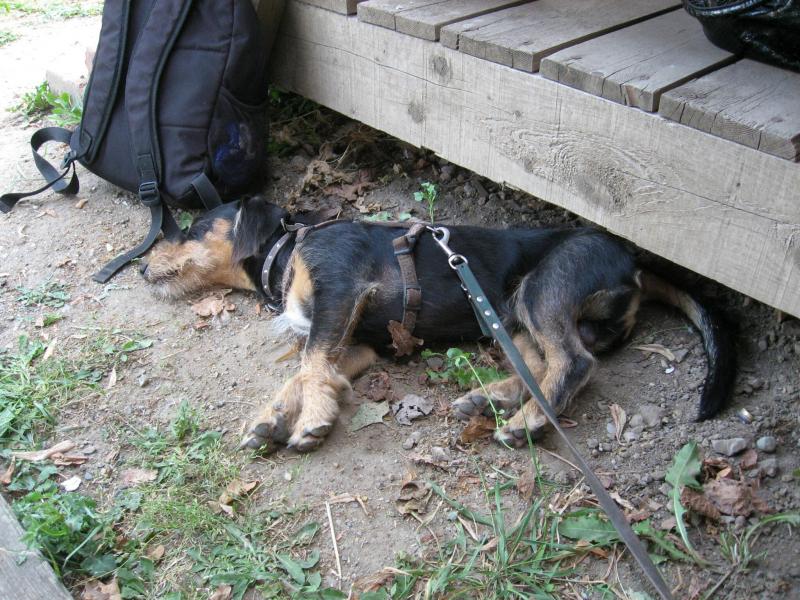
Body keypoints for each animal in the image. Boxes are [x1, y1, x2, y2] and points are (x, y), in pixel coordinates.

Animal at [142, 195, 736, 452]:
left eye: (193, 226)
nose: (143, 266)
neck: (286, 250)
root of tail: (636, 264)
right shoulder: (357, 342)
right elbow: (310, 369)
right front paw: (272, 417)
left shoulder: (340, 291)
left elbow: (310, 363)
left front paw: (310, 421)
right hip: (510, 316)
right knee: (541, 365)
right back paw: (489, 398)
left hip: (544, 290)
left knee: (574, 363)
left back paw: (527, 423)